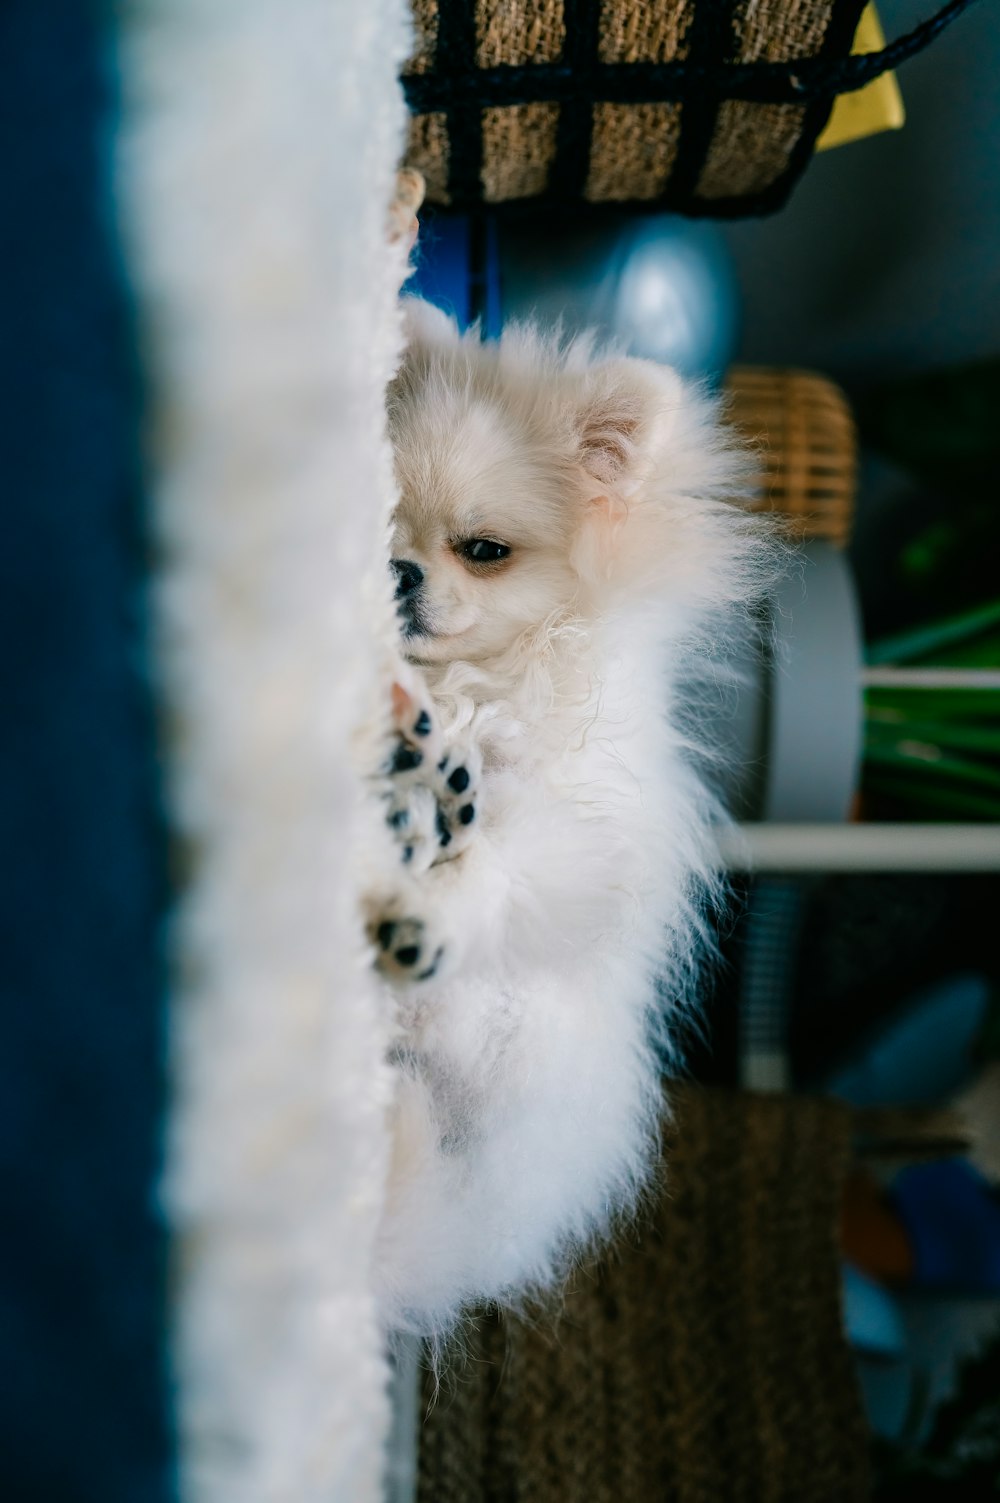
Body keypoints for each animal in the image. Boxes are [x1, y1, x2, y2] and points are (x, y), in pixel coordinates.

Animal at [369, 299, 766, 1334]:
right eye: (384, 521)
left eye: (483, 550)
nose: (397, 571)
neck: (478, 684)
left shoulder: (569, 826)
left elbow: (496, 867)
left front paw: (431, 905)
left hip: (504, 1024)